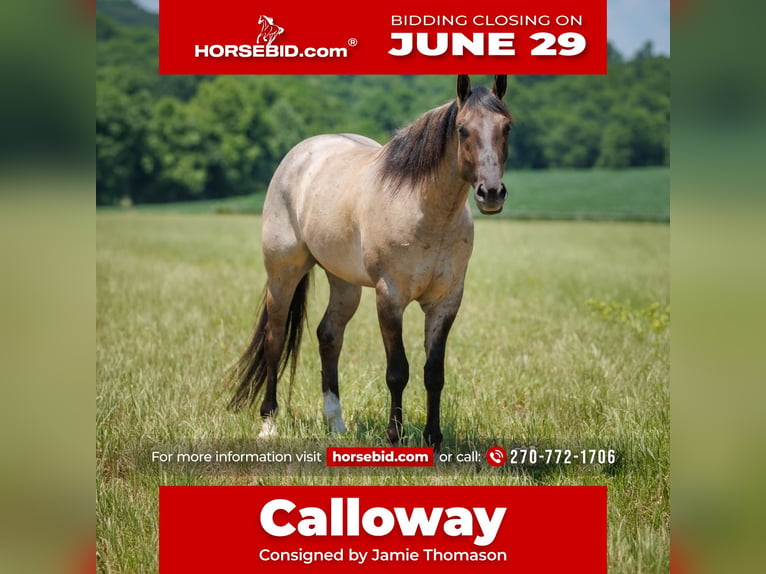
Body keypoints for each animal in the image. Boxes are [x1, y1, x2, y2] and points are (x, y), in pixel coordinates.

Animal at [228, 75, 512, 449]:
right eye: (463, 130)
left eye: (506, 127)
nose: (490, 193)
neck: (426, 211)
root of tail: (300, 154)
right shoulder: (389, 298)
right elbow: (398, 371)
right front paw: (395, 436)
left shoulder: (446, 302)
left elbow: (434, 373)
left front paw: (433, 439)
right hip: (283, 274)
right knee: (275, 339)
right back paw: (269, 424)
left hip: (344, 283)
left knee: (329, 335)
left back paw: (336, 424)